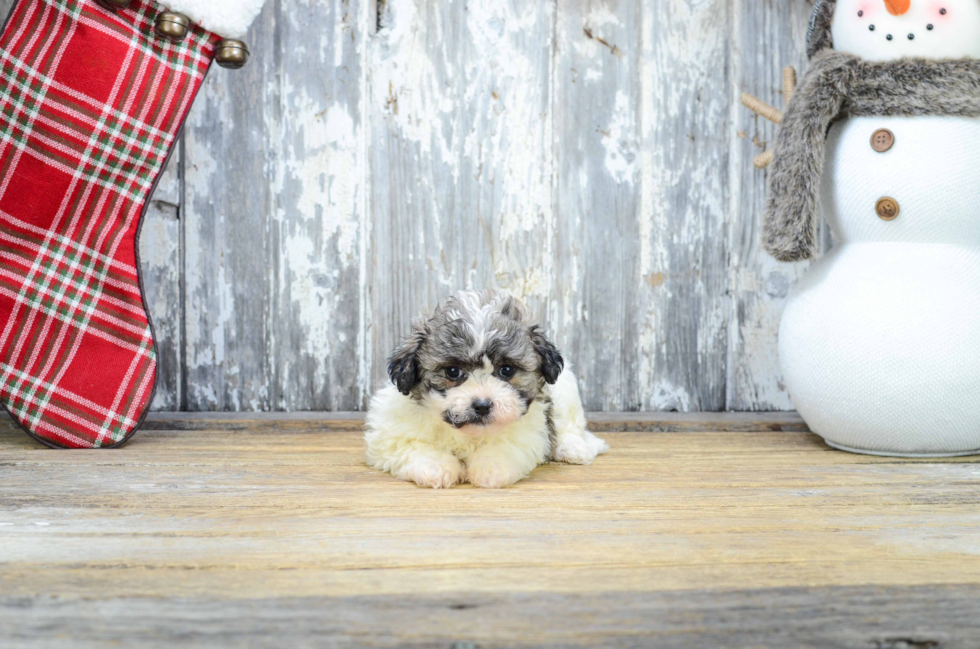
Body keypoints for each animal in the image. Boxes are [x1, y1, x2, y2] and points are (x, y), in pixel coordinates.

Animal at [366, 288, 608, 486]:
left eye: (507, 370)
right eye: (452, 372)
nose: (482, 405)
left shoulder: (528, 432)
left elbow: (503, 449)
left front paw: (489, 469)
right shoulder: (390, 434)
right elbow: (414, 446)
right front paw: (437, 468)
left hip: (566, 392)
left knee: (570, 426)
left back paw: (573, 448)